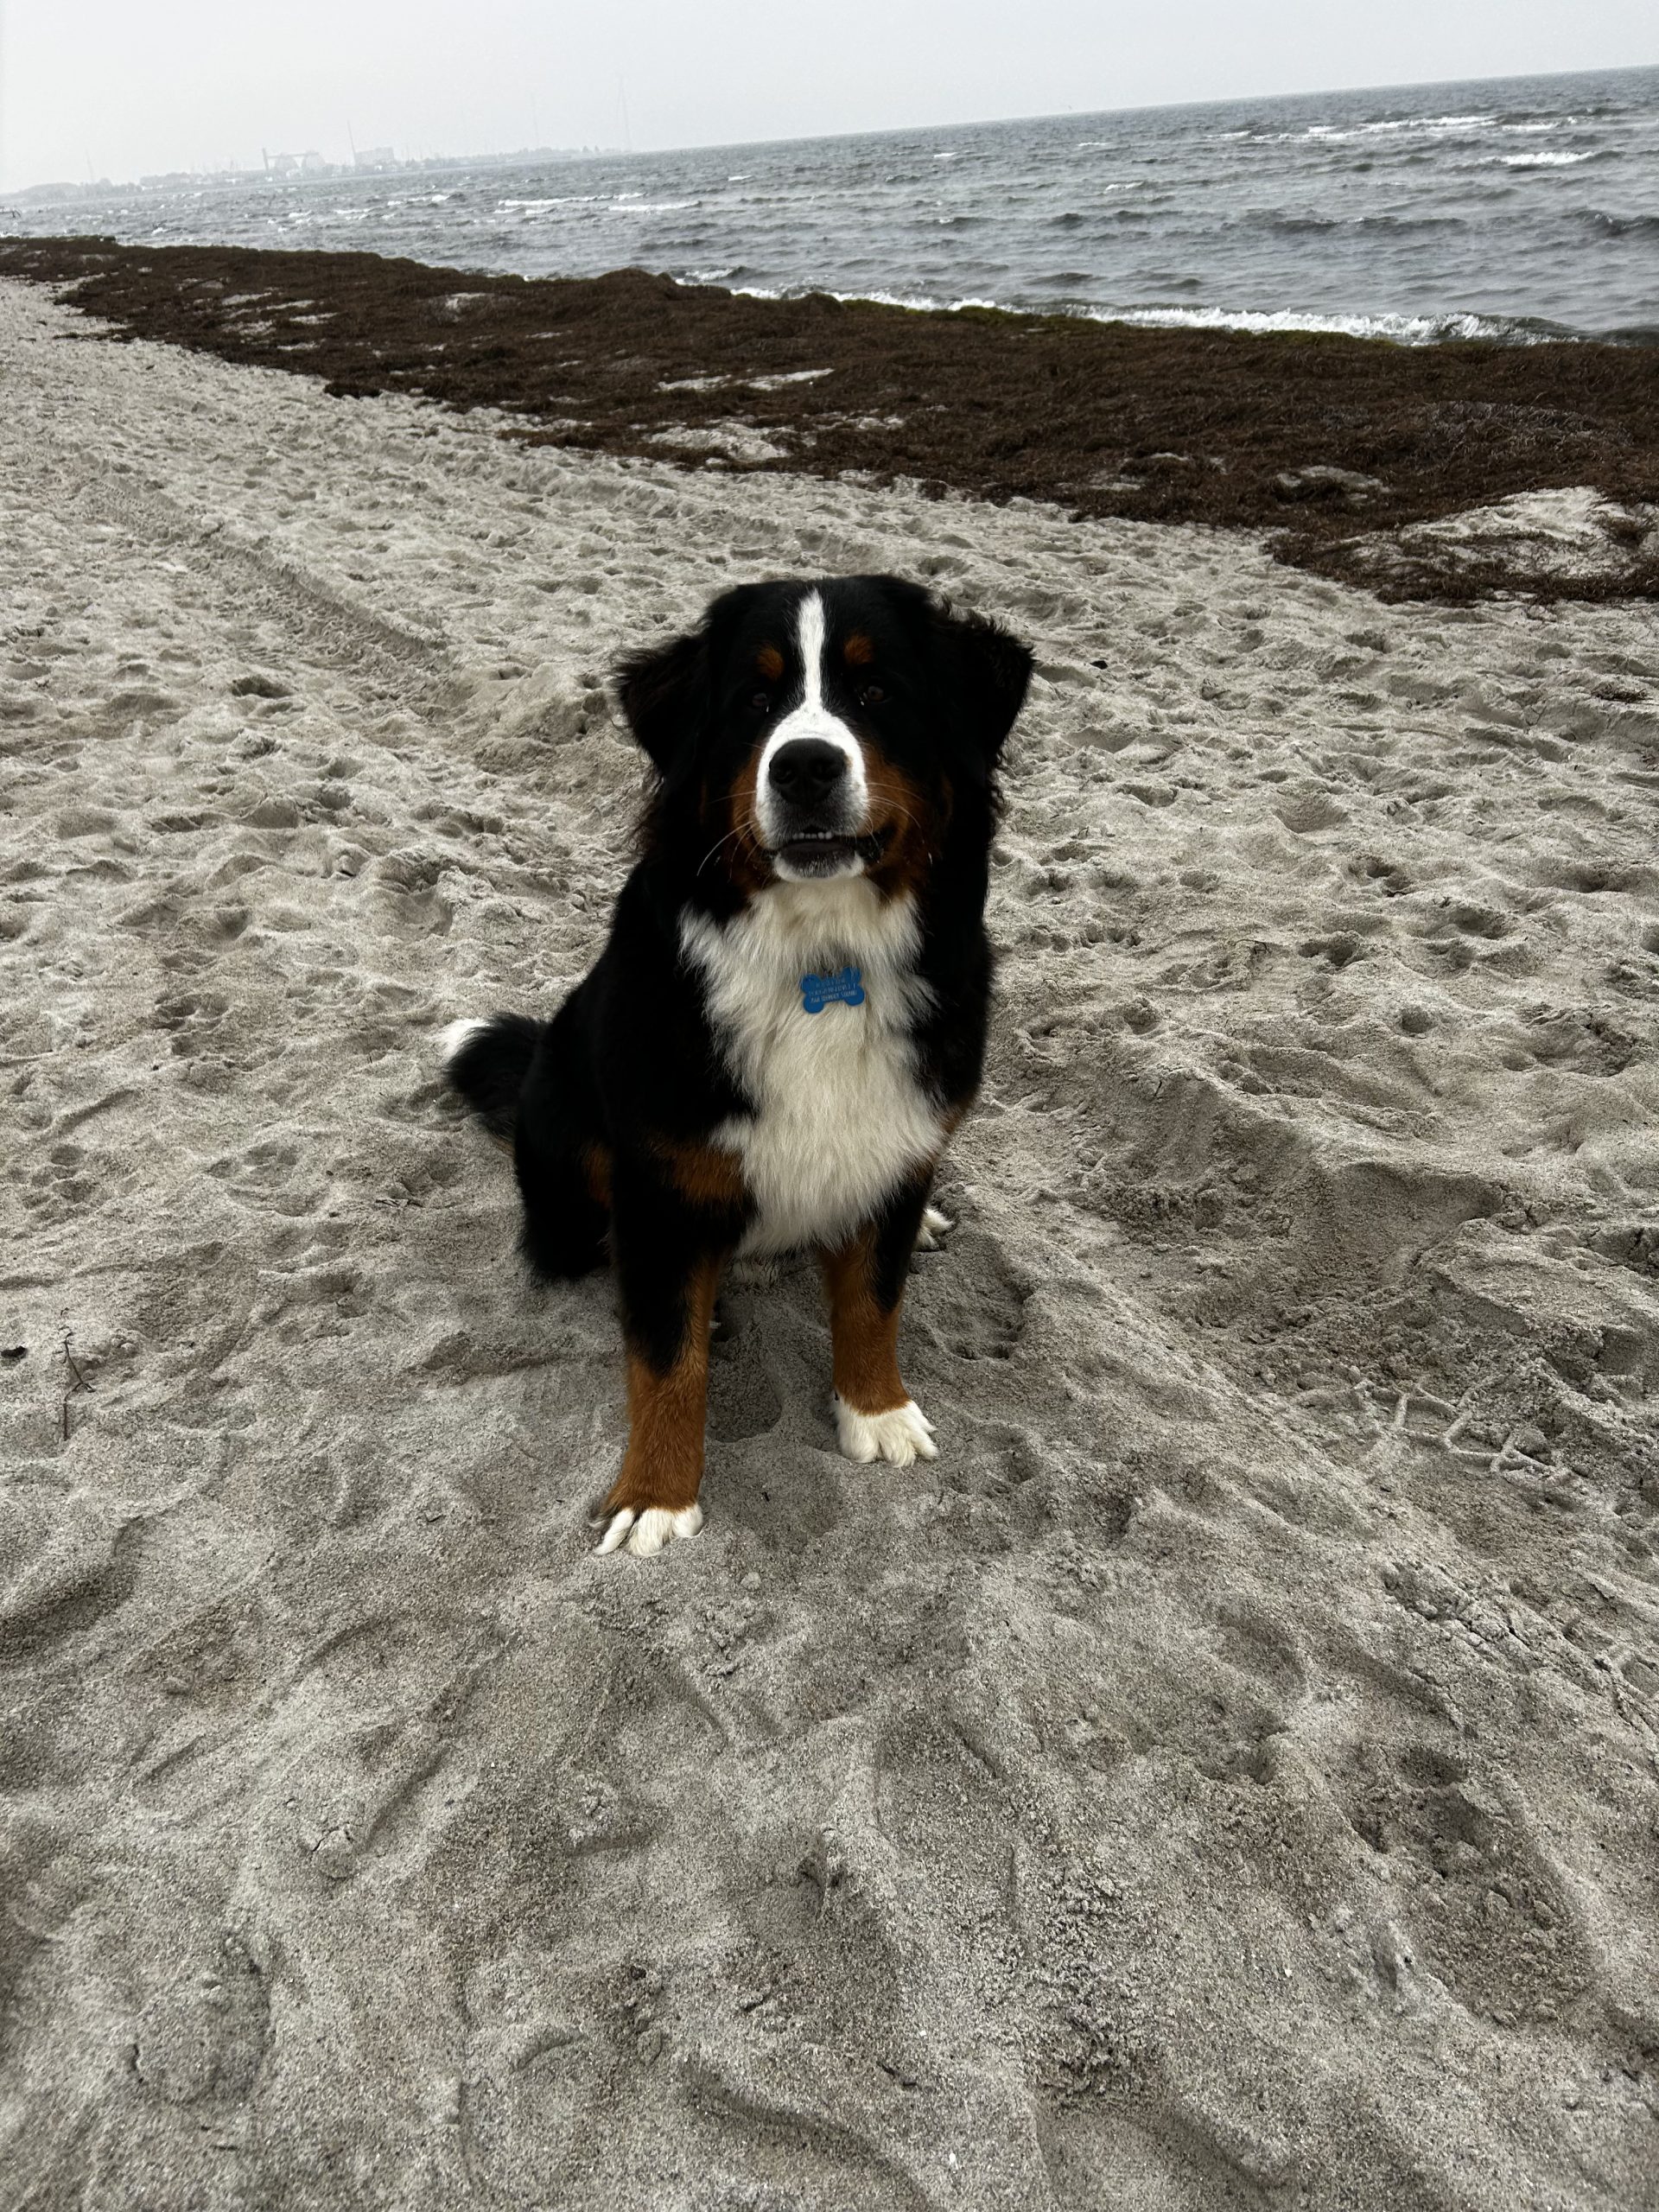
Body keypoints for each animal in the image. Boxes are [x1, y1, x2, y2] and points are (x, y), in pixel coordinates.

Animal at [441, 573, 1032, 1555]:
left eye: (877, 692)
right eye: (755, 701)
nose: (805, 767)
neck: (822, 960)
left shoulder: (899, 1135)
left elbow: (873, 1298)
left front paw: (877, 1412)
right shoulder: (659, 1175)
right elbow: (664, 1356)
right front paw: (655, 1494)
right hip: (569, 1136)